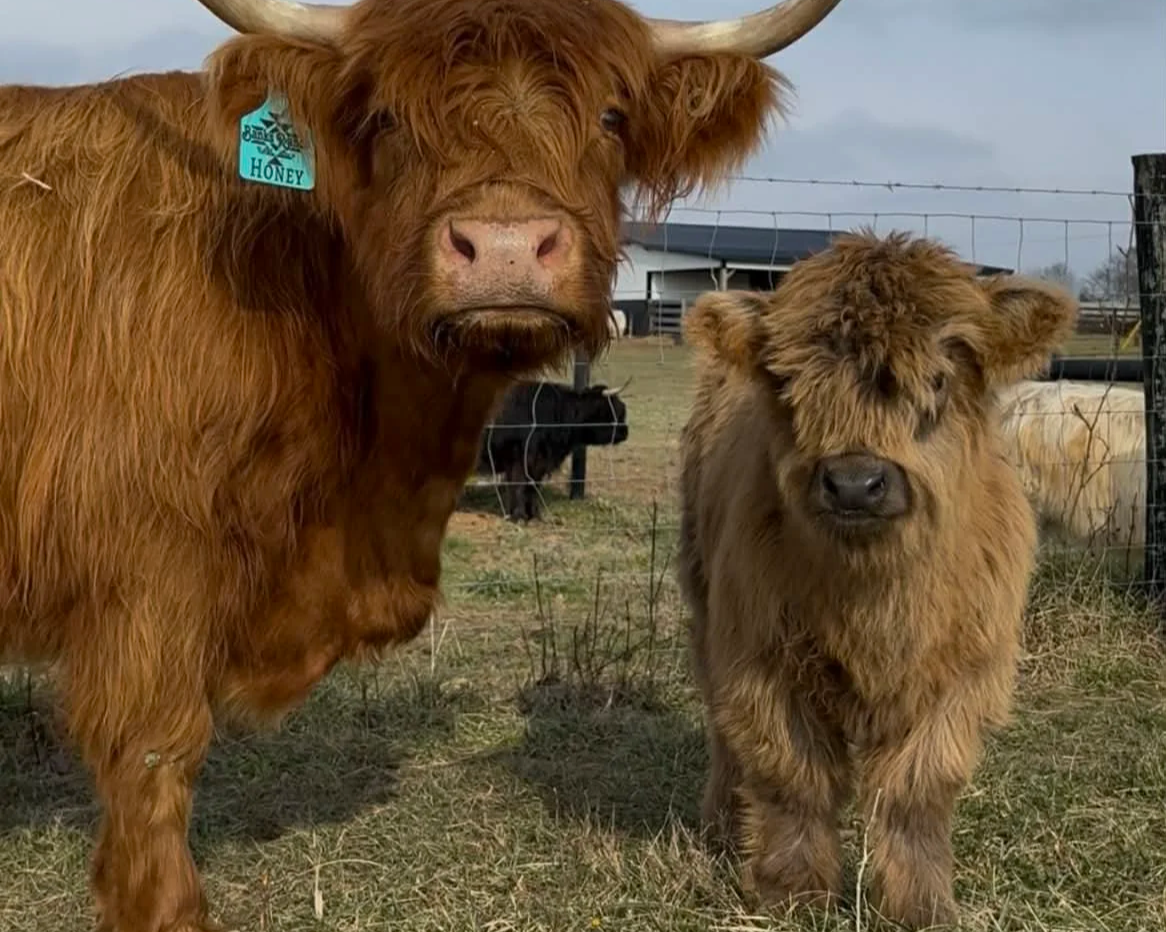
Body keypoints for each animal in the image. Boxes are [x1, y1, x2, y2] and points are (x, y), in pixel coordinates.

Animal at [476, 379, 629, 520]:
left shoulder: (539, 463)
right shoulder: (520, 459)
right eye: (614, 411)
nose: (625, 432)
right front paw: (519, 516)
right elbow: (519, 485)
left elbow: (534, 488)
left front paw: (534, 514)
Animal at [675, 230, 1078, 928]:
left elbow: (916, 794)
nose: (854, 483)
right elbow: (793, 779)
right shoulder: (759, 661)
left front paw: (921, 903)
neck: (876, 602)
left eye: (939, 379)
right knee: (726, 737)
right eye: (788, 383)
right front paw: (793, 893)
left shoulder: (964, 676)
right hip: (706, 614)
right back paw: (723, 826)